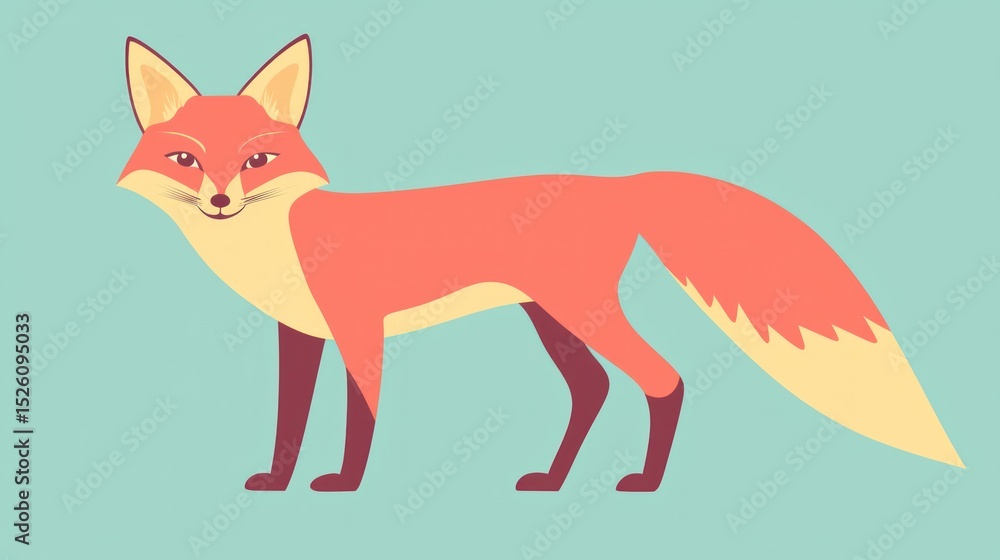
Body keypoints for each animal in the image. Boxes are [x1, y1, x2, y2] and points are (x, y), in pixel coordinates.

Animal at [118, 35, 963, 493]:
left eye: (257, 159)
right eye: (185, 159)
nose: (220, 198)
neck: (279, 240)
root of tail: (620, 182)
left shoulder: (359, 328)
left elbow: (362, 418)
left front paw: (346, 484)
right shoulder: (301, 335)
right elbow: (287, 421)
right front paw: (277, 482)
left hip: (576, 309)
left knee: (662, 381)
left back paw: (645, 484)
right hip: (550, 318)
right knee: (593, 389)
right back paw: (554, 480)